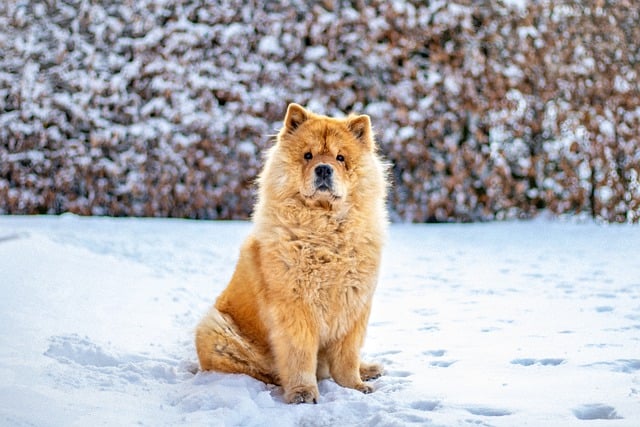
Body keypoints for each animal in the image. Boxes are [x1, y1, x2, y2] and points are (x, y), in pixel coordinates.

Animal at [195, 103, 388, 404]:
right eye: (308, 155)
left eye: (340, 158)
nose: (323, 169)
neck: (324, 231)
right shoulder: (295, 308)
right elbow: (300, 357)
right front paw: (302, 394)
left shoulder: (354, 307)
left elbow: (347, 357)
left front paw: (354, 387)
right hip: (213, 328)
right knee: (259, 368)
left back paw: (368, 369)